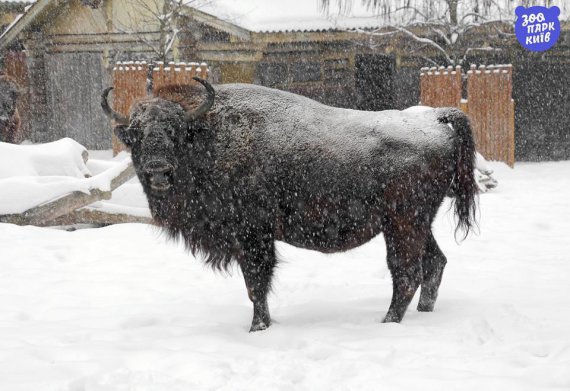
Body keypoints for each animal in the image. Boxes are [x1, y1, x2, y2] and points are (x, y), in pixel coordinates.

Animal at [101, 79, 474, 334]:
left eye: (176, 131)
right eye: (136, 134)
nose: (158, 170)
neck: (209, 136)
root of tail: (435, 119)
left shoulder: (253, 237)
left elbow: (255, 284)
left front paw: (258, 328)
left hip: (403, 223)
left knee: (406, 271)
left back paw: (388, 321)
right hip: (415, 224)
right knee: (434, 263)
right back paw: (422, 313)